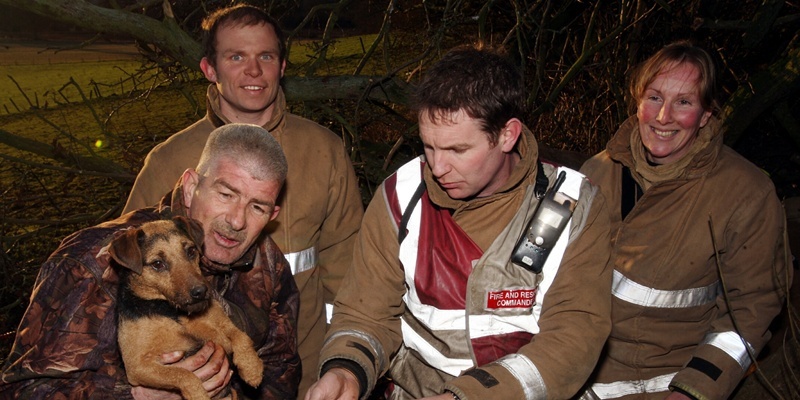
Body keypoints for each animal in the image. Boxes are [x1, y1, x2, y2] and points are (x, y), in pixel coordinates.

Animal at [109, 216, 264, 400]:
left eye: (191, 251)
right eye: (157, 264)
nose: (201, 292)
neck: (173, 312)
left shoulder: (223, 324)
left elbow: (241, 336)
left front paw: (252, 368)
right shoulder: (138, 366)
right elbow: (183, 374)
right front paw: (199, 395)